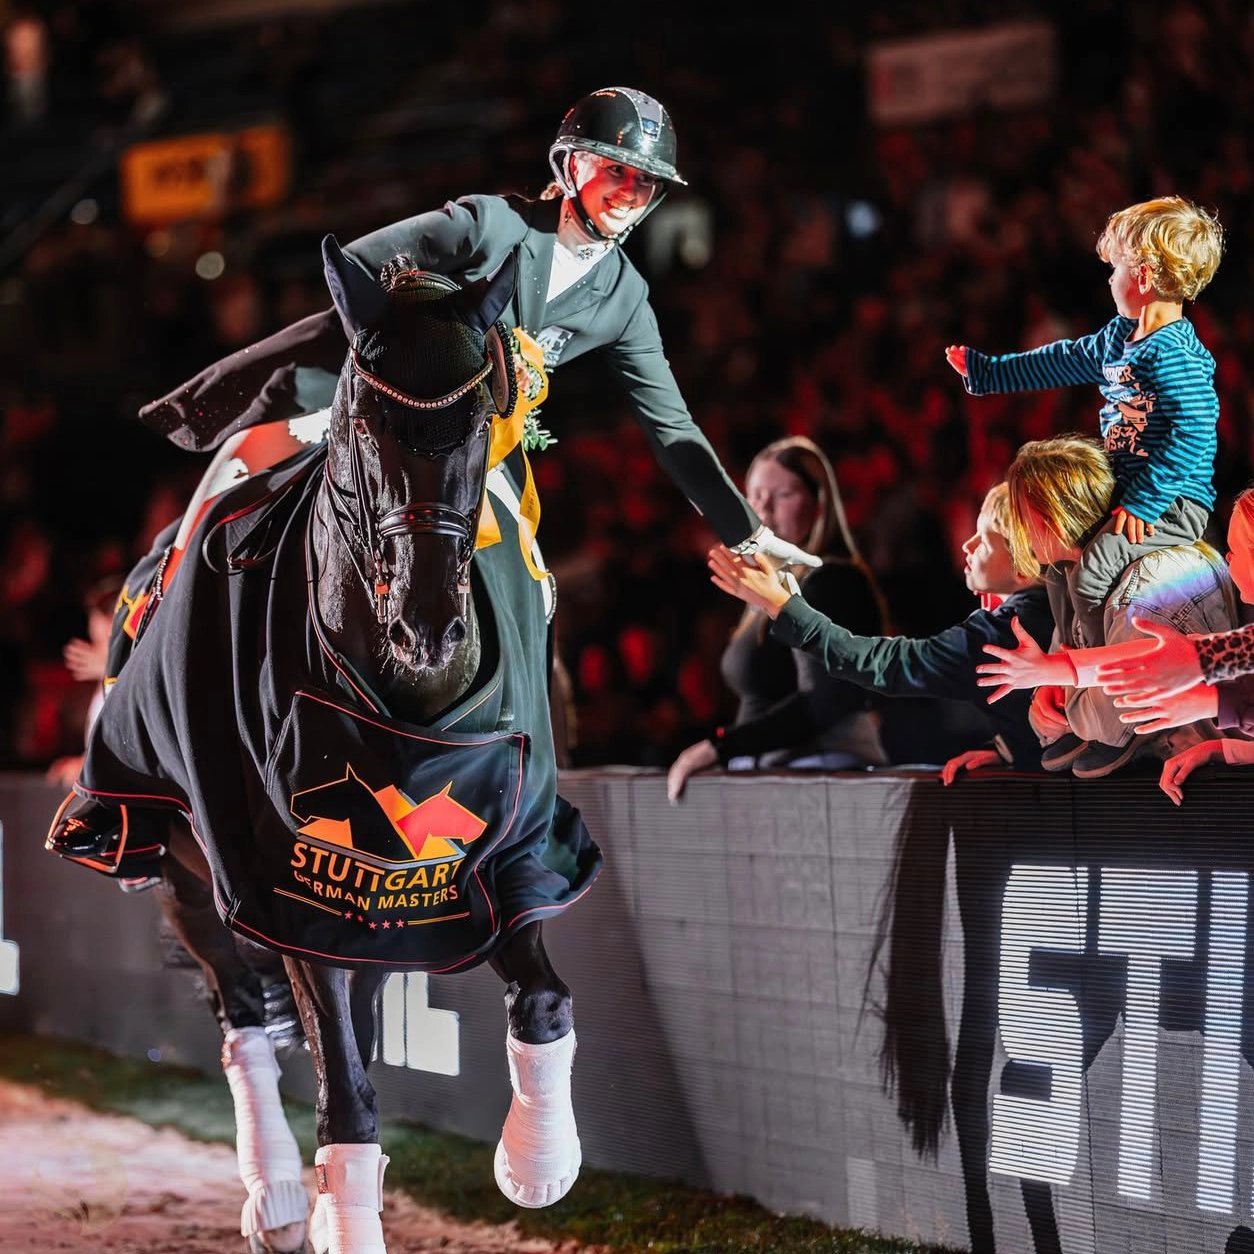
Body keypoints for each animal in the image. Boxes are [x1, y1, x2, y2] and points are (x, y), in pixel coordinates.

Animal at [48, 237, 602, 1254]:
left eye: (481, 418)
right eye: (367, 420)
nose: (428, 625)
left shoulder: (498, 853)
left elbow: (540, 999)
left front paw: (538, 1163)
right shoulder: (285, 882)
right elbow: (343, 1089)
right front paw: (333, 1208)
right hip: (184, 875)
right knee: (244, 1028)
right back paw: (274, 1195)